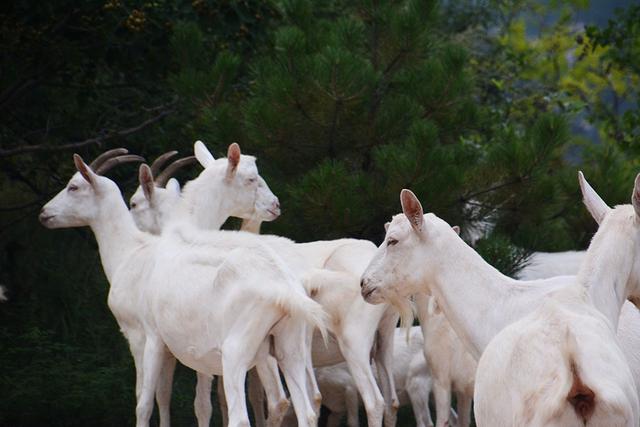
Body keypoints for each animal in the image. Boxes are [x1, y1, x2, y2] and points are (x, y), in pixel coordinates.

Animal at [39, 152, 324, 427]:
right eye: (253, 178)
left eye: (73, 186)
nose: (44, 213)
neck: (129, 251)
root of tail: (285, 286)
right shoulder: (183, 350)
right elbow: (172, 397)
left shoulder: (146, 337)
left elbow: (144, 403)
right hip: (290, 347)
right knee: (306, 410)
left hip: (237, 351)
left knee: (247, 415)